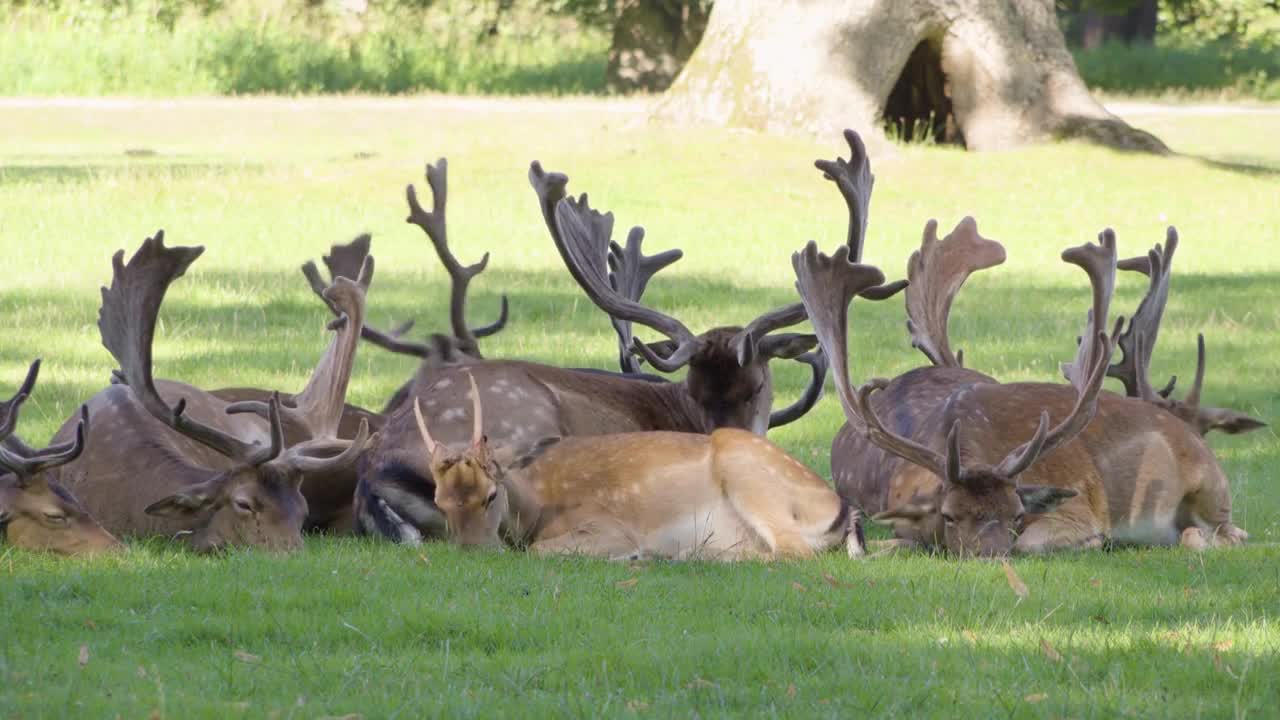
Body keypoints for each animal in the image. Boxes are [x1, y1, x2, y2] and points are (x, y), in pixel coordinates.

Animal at [409, 368, 870, 561]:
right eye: (440, 501)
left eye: (490, 495)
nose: (472, 549)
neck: (536, 504)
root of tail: (844, 511)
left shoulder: (607, 525)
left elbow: (541, 550)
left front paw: (628, 555)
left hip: (750, 477)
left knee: (793, 552)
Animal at [793, 229, 1244, 556]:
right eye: (950, 515)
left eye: (1016, 514)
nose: (993, 554)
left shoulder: (1074, 510)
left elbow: (1038, 541)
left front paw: (1097, 540)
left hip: (1210, 490)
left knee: (1228, 533)